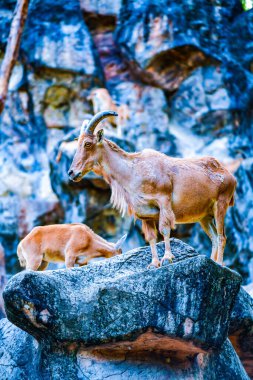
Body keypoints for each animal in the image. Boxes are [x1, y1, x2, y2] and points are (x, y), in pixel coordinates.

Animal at [67, 111, 237, 268]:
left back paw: (220, 264)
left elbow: (164, 229)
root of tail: (229, 175)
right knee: (214, 238)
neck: (134, 171)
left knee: (222, 236)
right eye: (78, 143)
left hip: (220, 205)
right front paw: (154, 263)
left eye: (87, 144)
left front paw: (167, 258)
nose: (72, 173)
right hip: (204, 216)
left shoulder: (163, 201)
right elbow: (151, 237)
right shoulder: (145, 215)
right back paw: (213, 262)